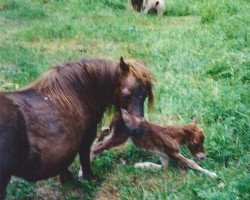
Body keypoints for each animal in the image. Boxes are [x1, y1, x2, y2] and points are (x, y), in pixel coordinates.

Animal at [0, 57, 152, 198]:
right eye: (125, 94)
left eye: (145, 94)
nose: (139, 129)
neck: (76, 93)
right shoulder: (85, 140)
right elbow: (84, 160)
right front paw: (89, 179)